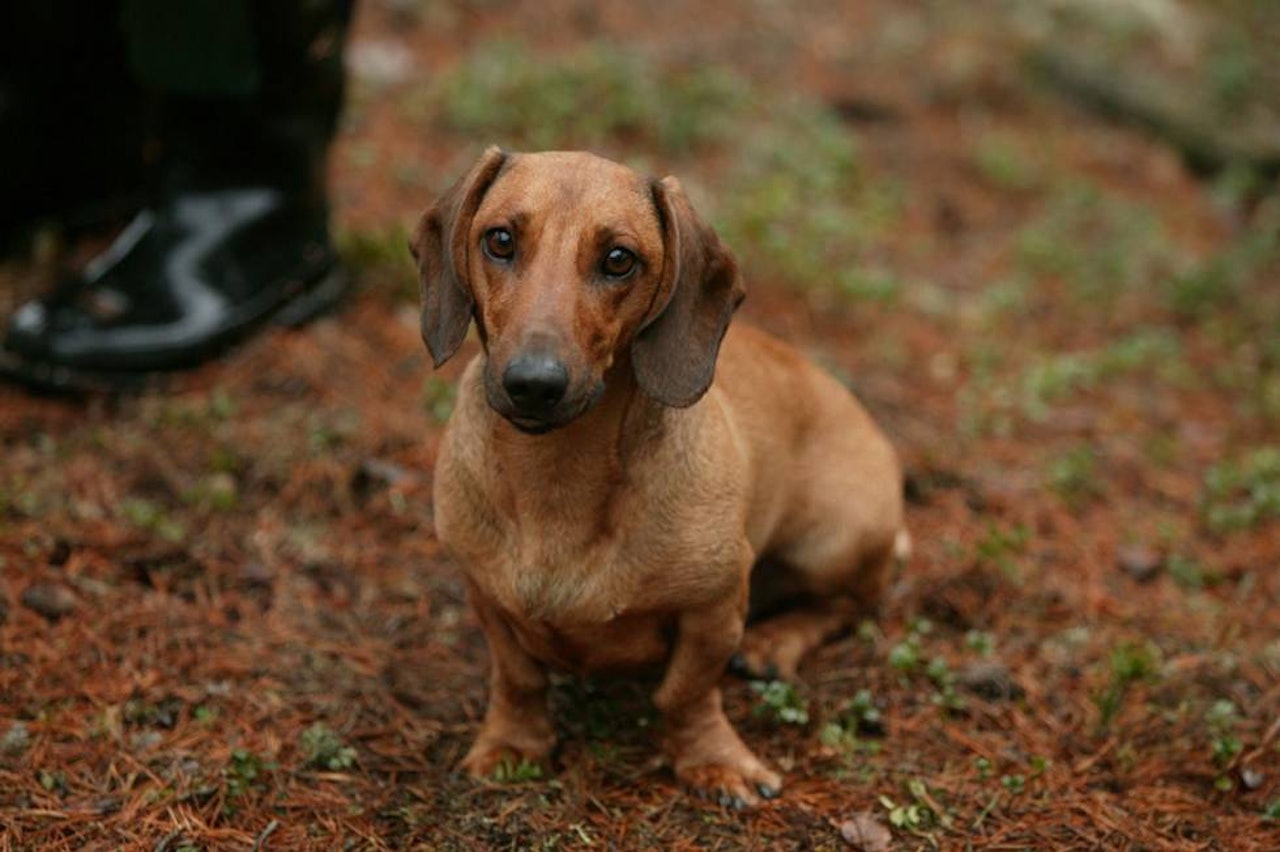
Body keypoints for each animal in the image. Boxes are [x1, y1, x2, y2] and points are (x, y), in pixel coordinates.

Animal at [414, 145, 906, 803]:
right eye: (499, 240)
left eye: (619, 259)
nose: (533, 384)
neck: (558, 477)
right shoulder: (486, 596)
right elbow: (518, 678)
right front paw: (513, 745)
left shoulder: (715, 610)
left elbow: (686, 693)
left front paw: (712, 759)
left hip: (837, 538)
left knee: (848, 604)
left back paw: (773, 644)